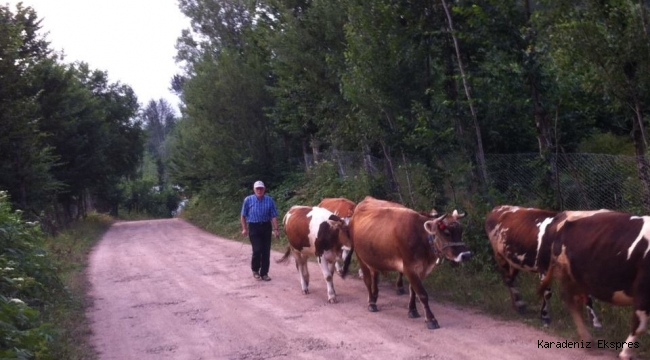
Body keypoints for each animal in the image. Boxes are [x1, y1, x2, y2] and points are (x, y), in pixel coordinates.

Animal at [344, 200, 470, 330]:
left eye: (461, 231)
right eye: (446, 233)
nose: (466, 255)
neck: (422, 238)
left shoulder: (423, 269)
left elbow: (413, 291)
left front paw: (412, 310)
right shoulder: (409, 268)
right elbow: (422, 294)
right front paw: (431, 319)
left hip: (373, 257)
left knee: (374, 276)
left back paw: (374, 296)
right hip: (360, 256)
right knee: (368, 280)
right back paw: (371, 303)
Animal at [536, 210, 644, 360]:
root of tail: (563, 214)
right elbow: (639, 324)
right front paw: (626, 353)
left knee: (577, 300)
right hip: (566, 272)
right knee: (570, 300)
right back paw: (588, 339)